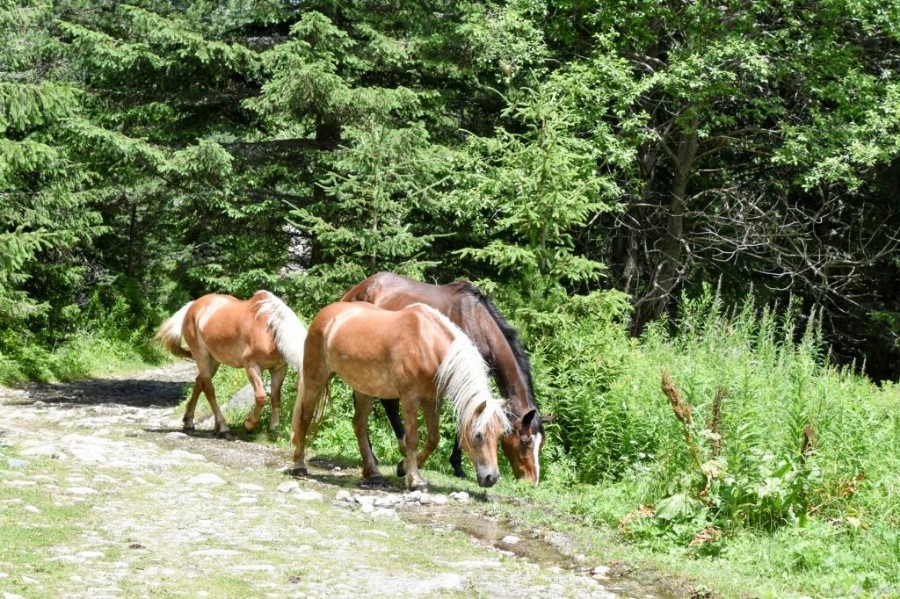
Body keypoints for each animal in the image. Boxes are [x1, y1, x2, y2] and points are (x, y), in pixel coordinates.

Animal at [153, 290, 308, 436]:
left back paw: (189, 422)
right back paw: (223, 427)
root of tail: (192, 305)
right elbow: (261, 396)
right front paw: (248, 424)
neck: (269, 329)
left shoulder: (279, 368)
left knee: (198, 383)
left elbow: (276, 397)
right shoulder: (251, 366)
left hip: (214, 360)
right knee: (208, 389)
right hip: (201, 356)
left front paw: (274, 429)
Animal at [292, 302, 510, 490]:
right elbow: (412, 439)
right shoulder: (410, 399)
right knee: (305, 416)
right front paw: (415, 480)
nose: (491, 478)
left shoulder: (432, 400)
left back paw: (373, 473)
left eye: (500, 435)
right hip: (315, 378)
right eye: (478, 435)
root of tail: (326, 314)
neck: (429, 345)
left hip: (364, 388)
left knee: (359, 426)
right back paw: (299, 466)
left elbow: (433, 439)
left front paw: (402, 467)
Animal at [342, 274, 544, 486]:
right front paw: (452, 465)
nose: (532, 481)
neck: (476, 321)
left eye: (541, 444)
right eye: (525, 442)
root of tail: (358, 289)